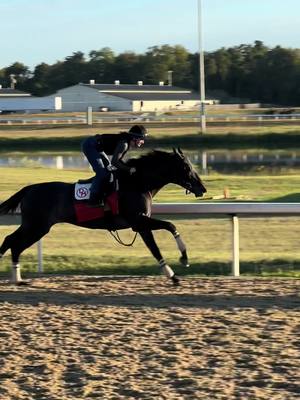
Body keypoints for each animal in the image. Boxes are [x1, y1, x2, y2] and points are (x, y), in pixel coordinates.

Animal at [0, 148, 206, 286]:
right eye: (186, 167)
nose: (202, 188)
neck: (137, 183)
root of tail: (30, 189)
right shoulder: (138, 221)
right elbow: (168, 229)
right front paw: (181, 263)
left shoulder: (141, 225)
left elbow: (160, 242)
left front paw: (175, 272)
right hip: (36, 226)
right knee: (12, 241)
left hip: (36, 227)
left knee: (13, 243)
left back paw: (18, 279)